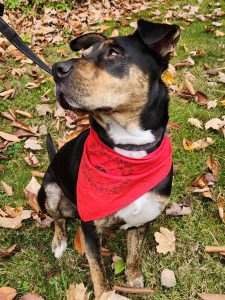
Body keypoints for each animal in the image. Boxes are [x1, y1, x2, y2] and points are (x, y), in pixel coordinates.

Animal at [37, 19, 180, 298]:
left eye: (113, 53)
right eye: (84, 55)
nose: (56, 69)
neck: (129, 149)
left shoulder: (142, 219)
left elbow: (134, 254)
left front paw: (134, 279)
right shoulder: (90, 230)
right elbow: (98, 271)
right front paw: (105, 292)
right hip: (49, 190)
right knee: (57, 218)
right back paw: (58, 242)